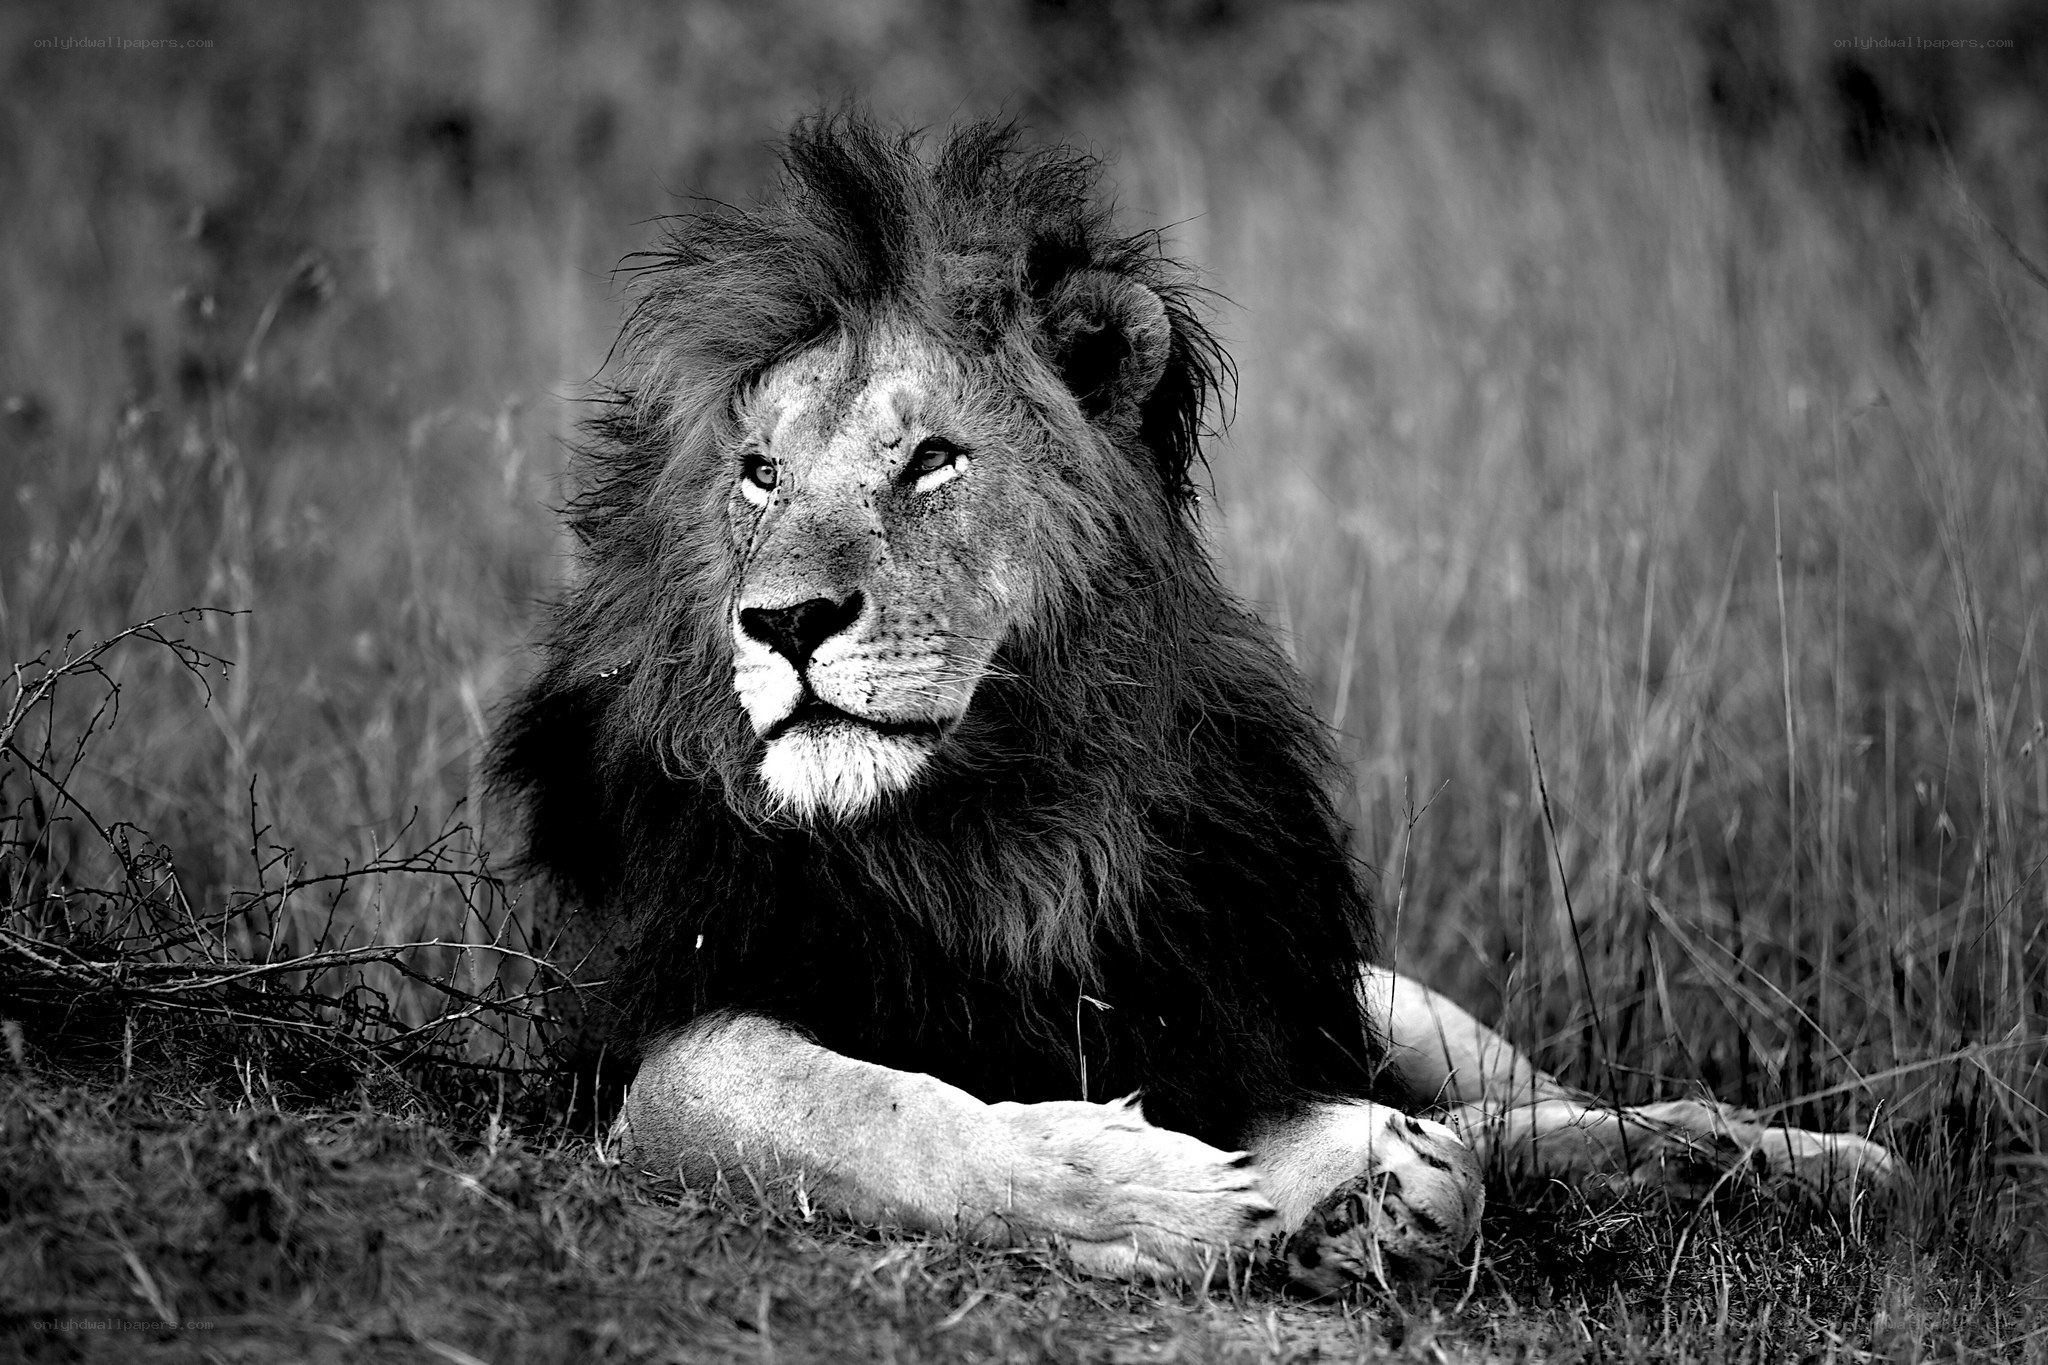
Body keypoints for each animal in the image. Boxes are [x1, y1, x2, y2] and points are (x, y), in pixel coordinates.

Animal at [491, 115, 1897, 1291]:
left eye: (933, 460)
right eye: (758, 476)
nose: (783, 623)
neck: (989, 827)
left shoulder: (1236, 1012)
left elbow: (1432, 1159)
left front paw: (1343, 1195)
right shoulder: (656, 1048)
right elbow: (868, 1110)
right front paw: (1136, 1187)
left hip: (1386, 994)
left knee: (1515, 1106)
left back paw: (1781, 1158)